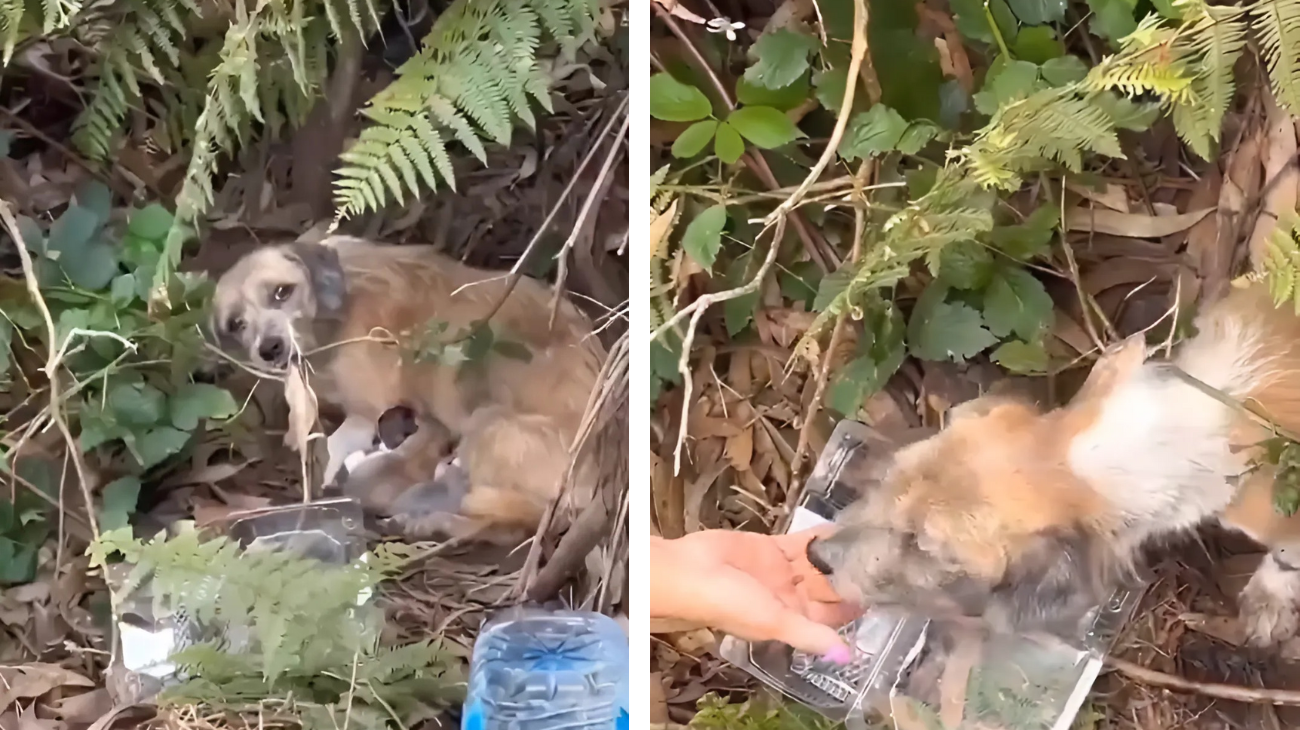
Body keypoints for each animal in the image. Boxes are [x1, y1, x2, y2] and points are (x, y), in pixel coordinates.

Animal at [209, 233, 603, 540]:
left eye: (281, 292)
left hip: (488, 425)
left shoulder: (366, 413)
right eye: (236, 323)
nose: (270, 349)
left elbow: (331, 451)